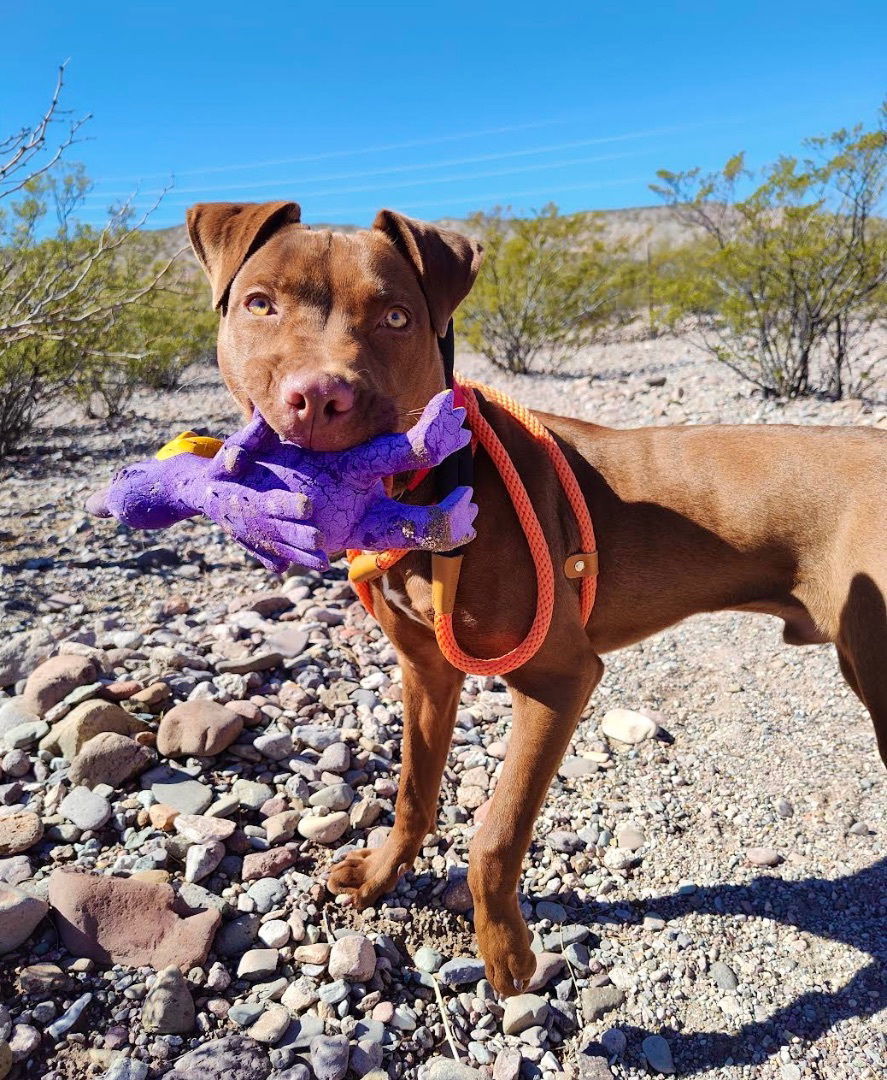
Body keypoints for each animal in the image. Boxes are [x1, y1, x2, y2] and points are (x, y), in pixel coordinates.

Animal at [183, 200, 881, 993]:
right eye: (258, 304)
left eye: (395, 317)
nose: (319, 396)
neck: (430, 493)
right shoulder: (426, 671)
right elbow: (413, 793)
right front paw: (380, 876)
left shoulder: (558, 678)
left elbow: (497, 833)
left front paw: (506, 950)